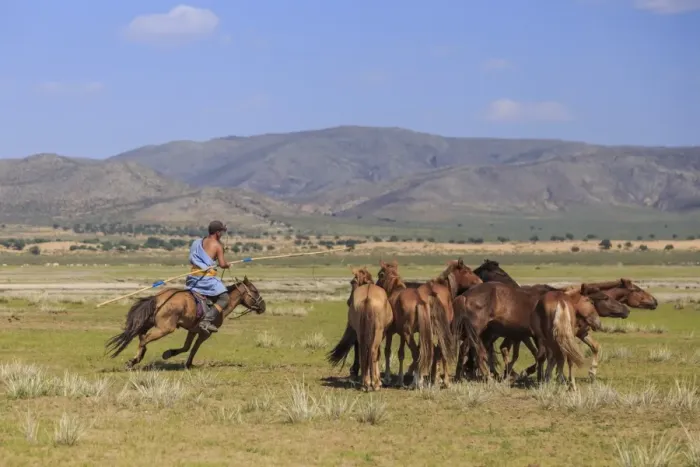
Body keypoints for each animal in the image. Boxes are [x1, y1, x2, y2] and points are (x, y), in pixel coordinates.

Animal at [105, 276, 266, 369]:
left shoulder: (193, 330)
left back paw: (138, 357)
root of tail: (159, 298)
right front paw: (184, 362)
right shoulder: (205, 333)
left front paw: (170, 353)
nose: (263, 306)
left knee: (141, 336)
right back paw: (134, 360)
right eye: (255, 291)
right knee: (145, 339)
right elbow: (194, 348)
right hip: (165, 328)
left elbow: (187, 347)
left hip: (147, 323)